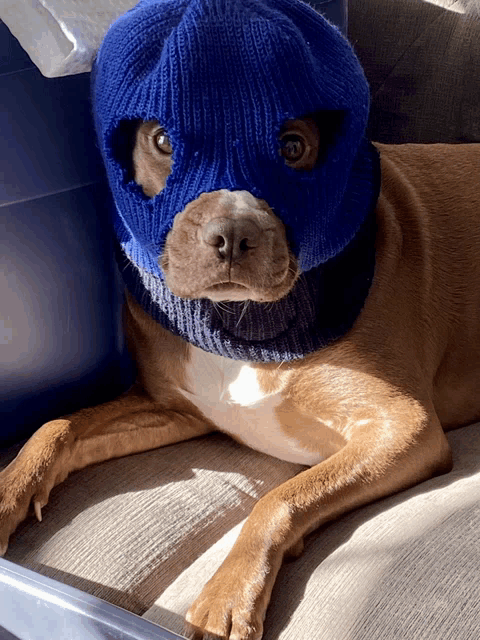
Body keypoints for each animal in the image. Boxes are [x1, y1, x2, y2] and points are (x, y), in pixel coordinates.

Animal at [0, 116, 480, 640]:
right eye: (163, 141)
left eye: (292, 147)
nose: (232, 234)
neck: (239, 323)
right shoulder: (174, 409)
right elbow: (60, 426)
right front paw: (9, 494)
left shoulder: (406, 427)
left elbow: (280, 497)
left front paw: (227, 594)